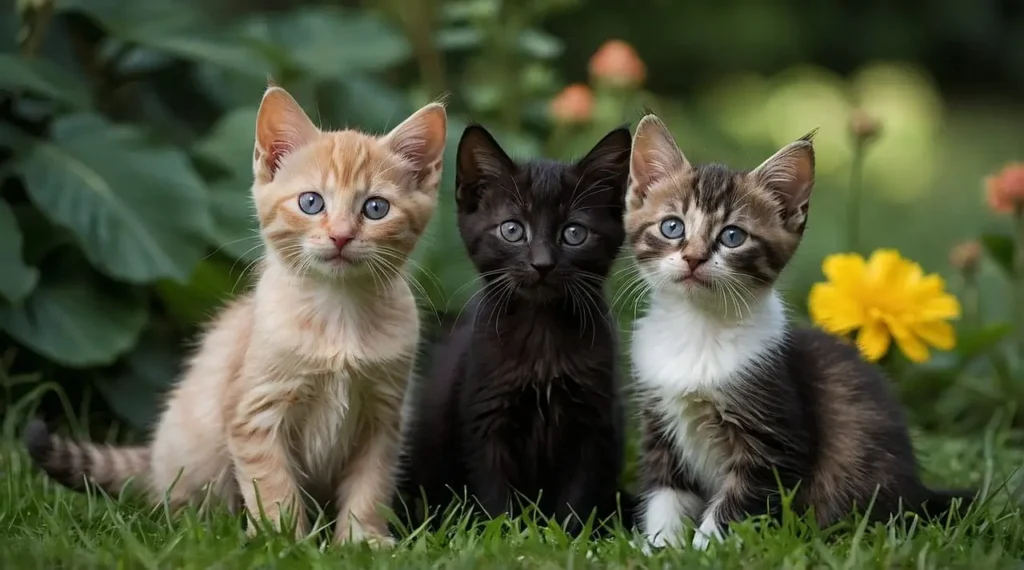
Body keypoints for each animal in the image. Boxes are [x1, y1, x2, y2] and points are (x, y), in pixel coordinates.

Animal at [24, 86, 446, 544]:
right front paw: (284, 540)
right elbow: (273, 483)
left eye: (375, 208)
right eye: (311, 202)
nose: (340, 236)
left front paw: (362, 539)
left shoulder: (384, 419)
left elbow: (371, 484)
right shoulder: (255, 413)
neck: (338, 316)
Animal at [397, 123, 630, 532]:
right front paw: (506, 533)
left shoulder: (594, 423)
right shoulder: (484, 418)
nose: (542, 264)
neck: (542, 335)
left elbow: (577, 498)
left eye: (574, 233)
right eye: (512, 230)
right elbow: (494, 492)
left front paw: (565, 536)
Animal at [622, 113, 974, 548]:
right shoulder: (658, 421)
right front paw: (659, 547)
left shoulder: (775, 438)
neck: (698, 329)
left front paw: (702, 550)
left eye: (732, 236)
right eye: (672, 227)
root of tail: (918, 492)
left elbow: (734, 506)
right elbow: (665, 494)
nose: (693, 258)